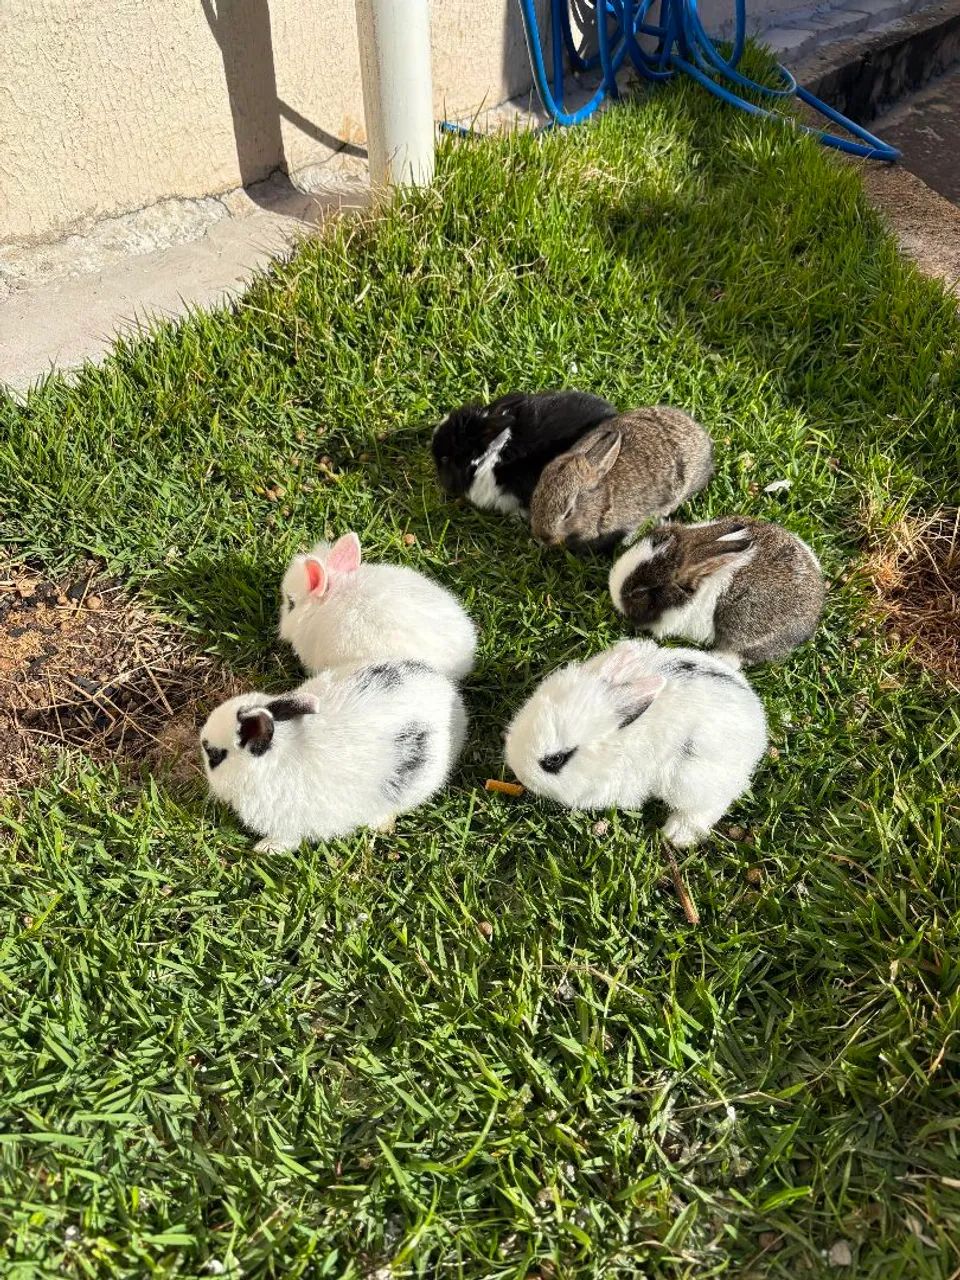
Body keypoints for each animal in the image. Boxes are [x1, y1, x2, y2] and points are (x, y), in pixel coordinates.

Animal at [200, 660, 468, 851]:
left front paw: (265, 849)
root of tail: (451, 699)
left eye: (215, 756)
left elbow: (288, 840)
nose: (201, 741)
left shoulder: (289, 825)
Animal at [504, 638, 767, 847]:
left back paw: (676, 835)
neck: (613, 750)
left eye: (555, 759)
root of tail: (757, 724)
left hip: (692, 778)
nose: (519, 773)